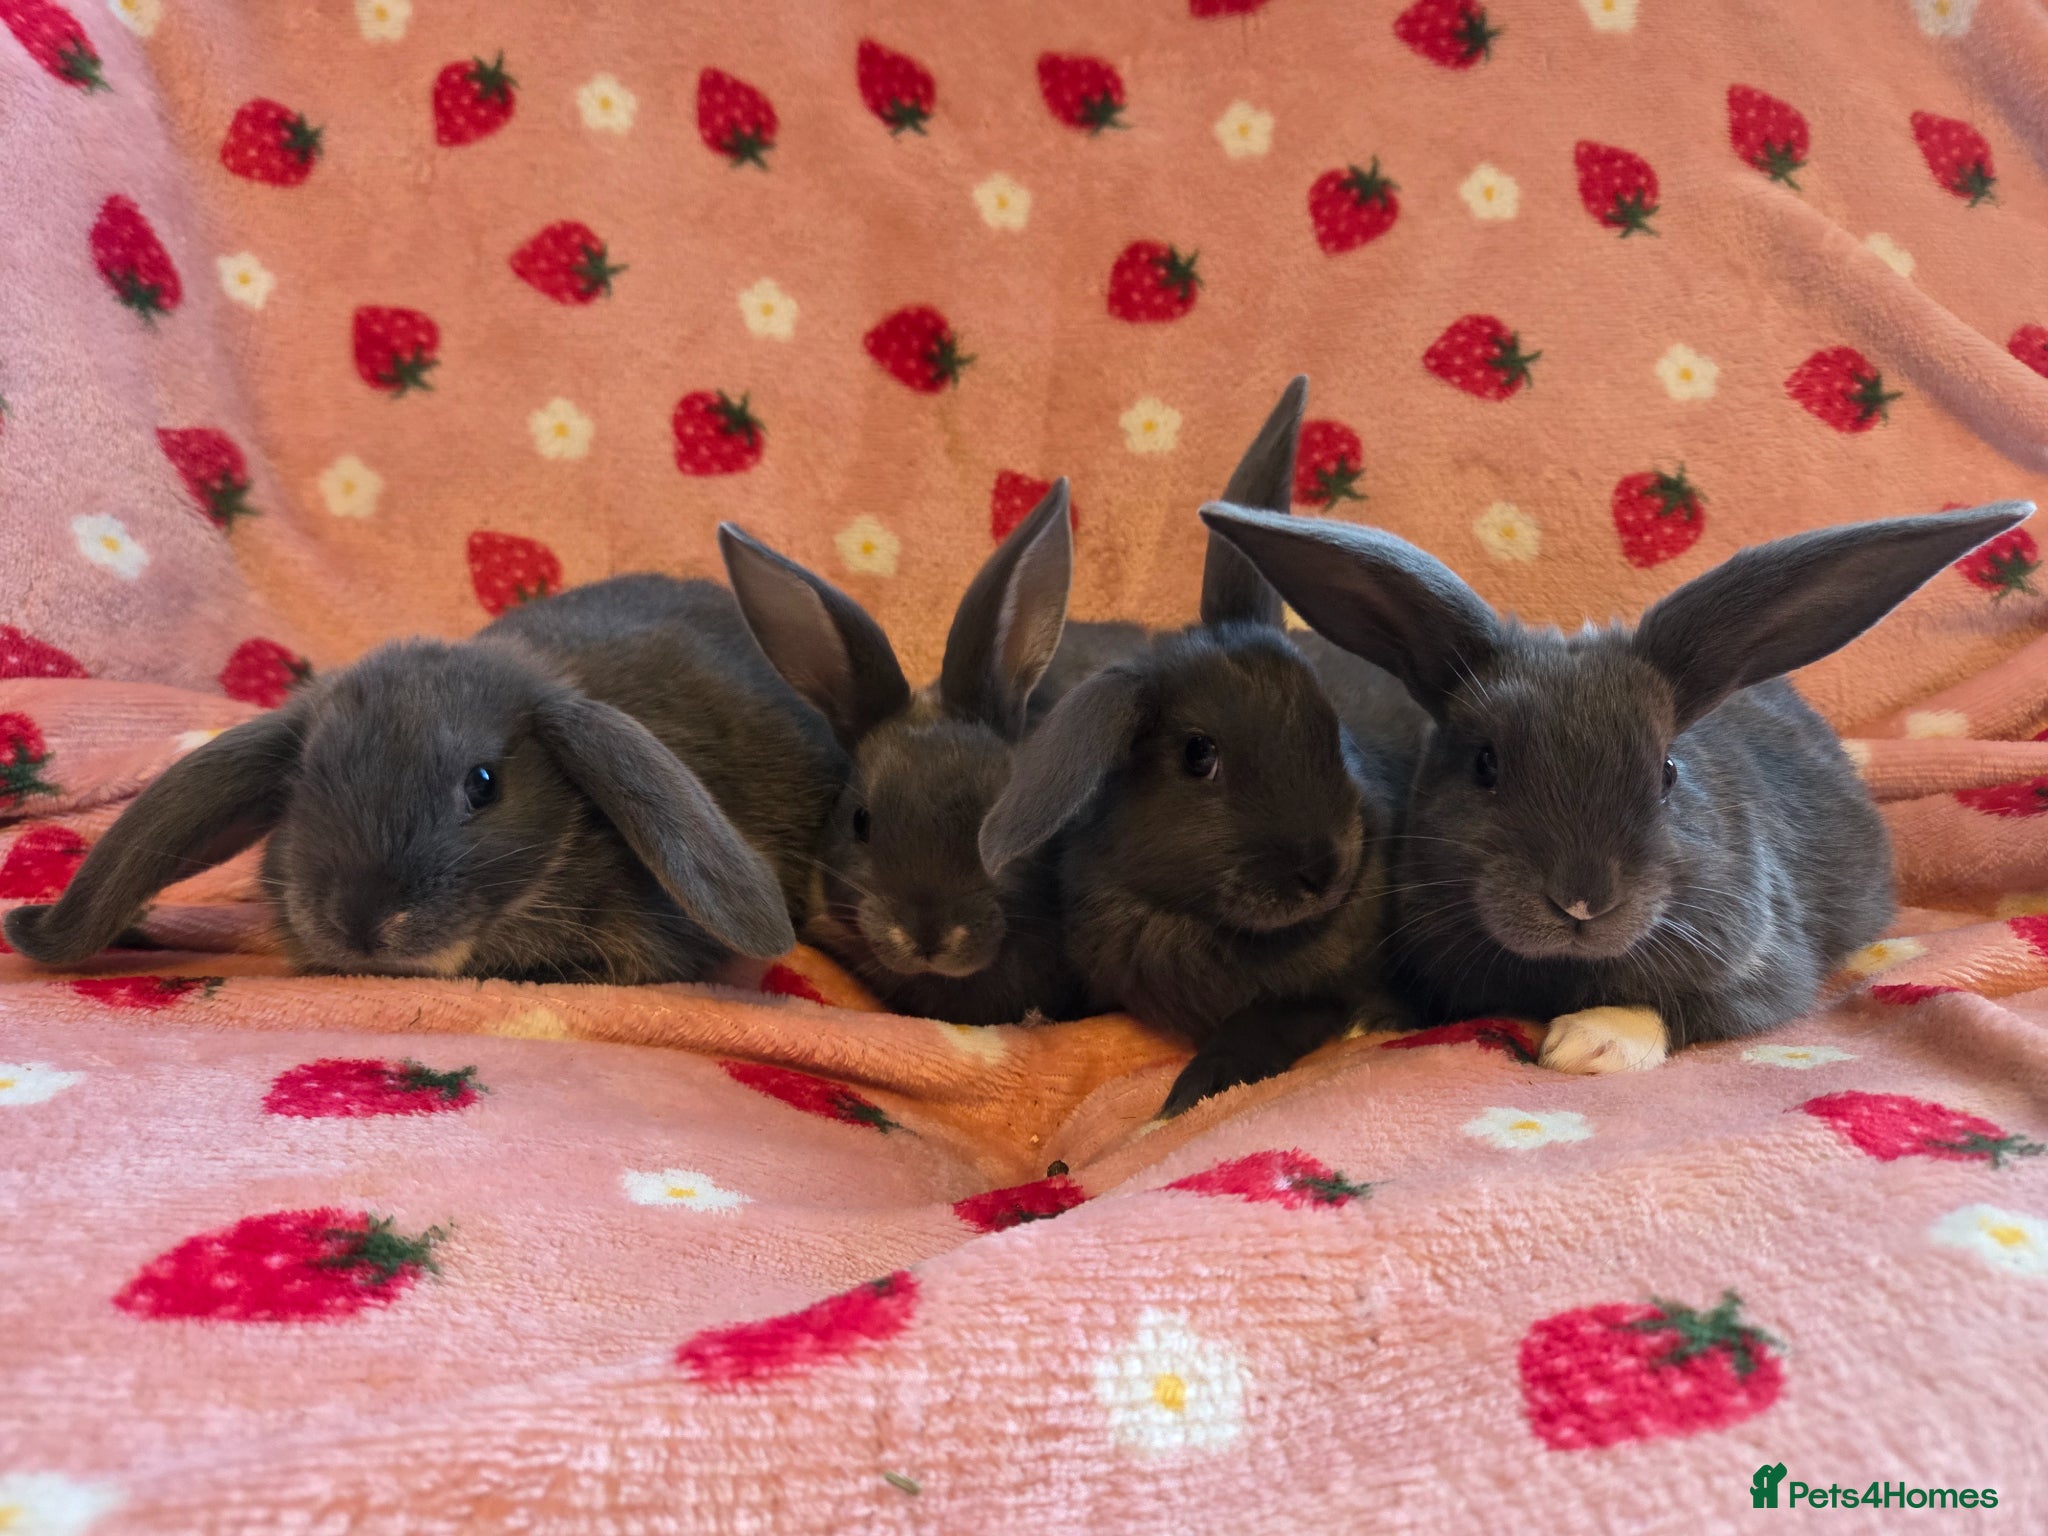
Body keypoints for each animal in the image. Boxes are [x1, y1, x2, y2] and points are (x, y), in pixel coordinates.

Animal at [980, 378, 1430, 1115]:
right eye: (1198, 755)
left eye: (1330, 724)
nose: (1323, 870)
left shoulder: (1312, 997)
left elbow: (1260, 1027)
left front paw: (1188, 1093)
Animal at [1198, 497, 2036, 1074]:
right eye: (1485, 763)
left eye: (1668, 770)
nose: (1580, 900)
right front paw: (1371, 1020)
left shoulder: (1764, 972)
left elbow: (1683, 1008)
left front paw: (1587, 1044)